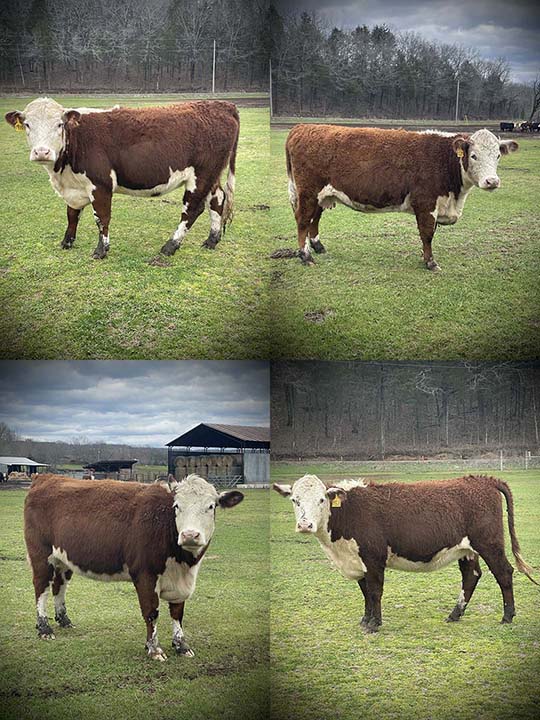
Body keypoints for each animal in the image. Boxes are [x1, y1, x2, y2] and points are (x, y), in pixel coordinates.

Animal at [5, 97, 239, 260]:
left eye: (59, 125)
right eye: (27, 125)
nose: (42, 152)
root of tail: (222, 104)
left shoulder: (100, 184)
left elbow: (101, 217)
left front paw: (101, 251)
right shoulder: (74, 188)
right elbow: (72, 214)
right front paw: (67, 242)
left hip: (201, 175)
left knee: (192, 210)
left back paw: (170, 246)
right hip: (212, 174)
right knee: (217, 200)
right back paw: (212, 240)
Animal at [24, 473, 243, 660]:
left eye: (211, 506)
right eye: (177, 506)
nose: (190, 535)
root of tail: (47, 477)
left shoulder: (179, 581)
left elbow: (177, 612)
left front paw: (181, 645)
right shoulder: (145, 575)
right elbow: (151, 612)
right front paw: (154, 648)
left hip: (63, 559)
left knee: (59, 586)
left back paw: (64, 620)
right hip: (41, 555)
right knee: (41, 587)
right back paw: (44, 628)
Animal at [273, 475, 537, 633]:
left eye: (321, 499)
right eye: (295, 500)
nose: (305, 525)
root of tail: (482, 480)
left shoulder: (374, 558)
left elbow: (375, 591)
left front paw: (374, 624)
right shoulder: (358, 561)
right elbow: (365, 592)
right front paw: (365, 620)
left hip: (489, 544)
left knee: (504, 573)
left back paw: (507, 616)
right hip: (467, 550)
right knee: (471, 576)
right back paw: (455, 614)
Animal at [285, 125, 519, 269]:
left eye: (498, 155)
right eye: (473, 156)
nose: (492, 181)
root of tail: (301, 128)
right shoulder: (425, 203)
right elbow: (427, 234)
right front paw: (430, 262)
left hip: (321, 195)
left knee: (314, 219)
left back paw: (318, 246)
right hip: (307, 192)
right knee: (303, 220)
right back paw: (305, 256)